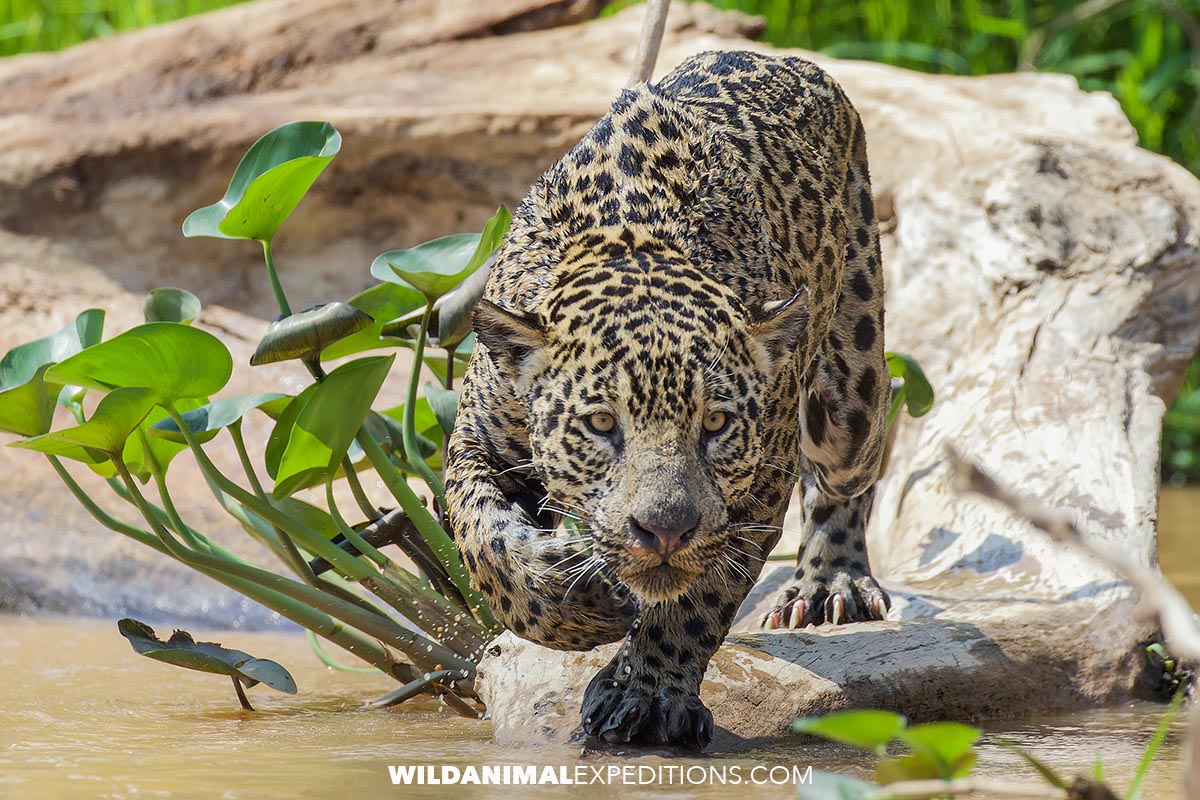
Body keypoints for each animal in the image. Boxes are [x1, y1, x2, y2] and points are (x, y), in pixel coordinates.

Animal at [444, 49, 891, 750]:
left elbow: (693, 600)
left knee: (851, 466)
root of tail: (786, 58)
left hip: (848, 399)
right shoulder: (479, 444)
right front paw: (581, 601)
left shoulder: (757, 486)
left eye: (715, 423)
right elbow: (484, 541)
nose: (665, 530)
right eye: (602, 423)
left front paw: (646, 694)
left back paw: (829, 585)